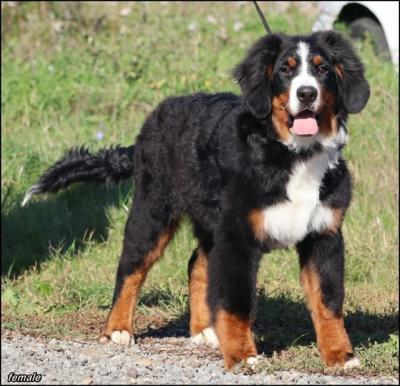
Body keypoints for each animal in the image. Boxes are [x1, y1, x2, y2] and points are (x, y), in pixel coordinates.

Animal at [23, 29, 370, 368]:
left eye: (322, 69)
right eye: (286, 69)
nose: (307, 94)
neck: (293, 154)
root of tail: (154, 118)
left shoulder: (323, 234)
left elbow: (327, 300)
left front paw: (340, 355)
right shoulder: (237, 237)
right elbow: (237, 303)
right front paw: (242, 355)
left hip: (209, 220)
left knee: (197, 264)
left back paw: (204, 330)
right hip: (153, 210)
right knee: (131, 268)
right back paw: (118, 328)